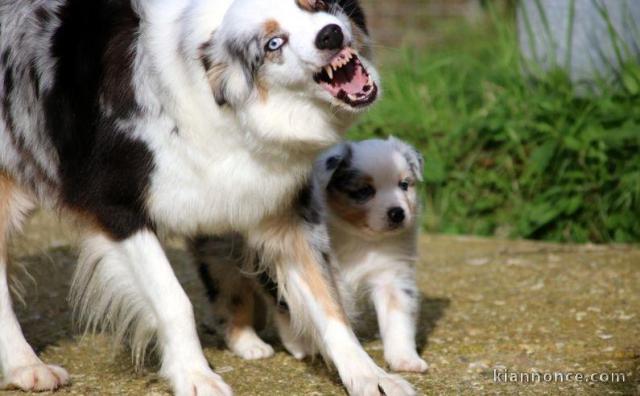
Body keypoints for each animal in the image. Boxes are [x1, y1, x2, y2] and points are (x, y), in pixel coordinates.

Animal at [192, 138, 428, 372]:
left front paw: (405, 359)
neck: (355, 235)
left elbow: (398, 319)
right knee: (232, 300)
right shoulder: (276, 261)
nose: (398, 213)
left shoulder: (392, 275)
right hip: (222, 259)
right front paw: (301, 345)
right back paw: (249, 344)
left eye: (404, 185)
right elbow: (288, 306)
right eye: (364, 191)